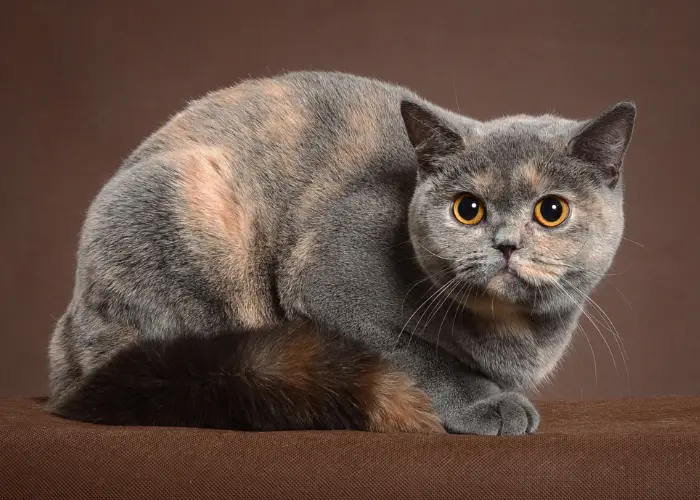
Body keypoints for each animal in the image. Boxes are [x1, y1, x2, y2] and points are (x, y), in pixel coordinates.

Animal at [47, 69, 636, 434]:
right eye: (467, 209)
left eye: (551, 211)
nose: (507, 243)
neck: (515, 333)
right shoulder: (328, 283)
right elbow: (420, 356)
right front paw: (488, 404)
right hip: (195, 209)